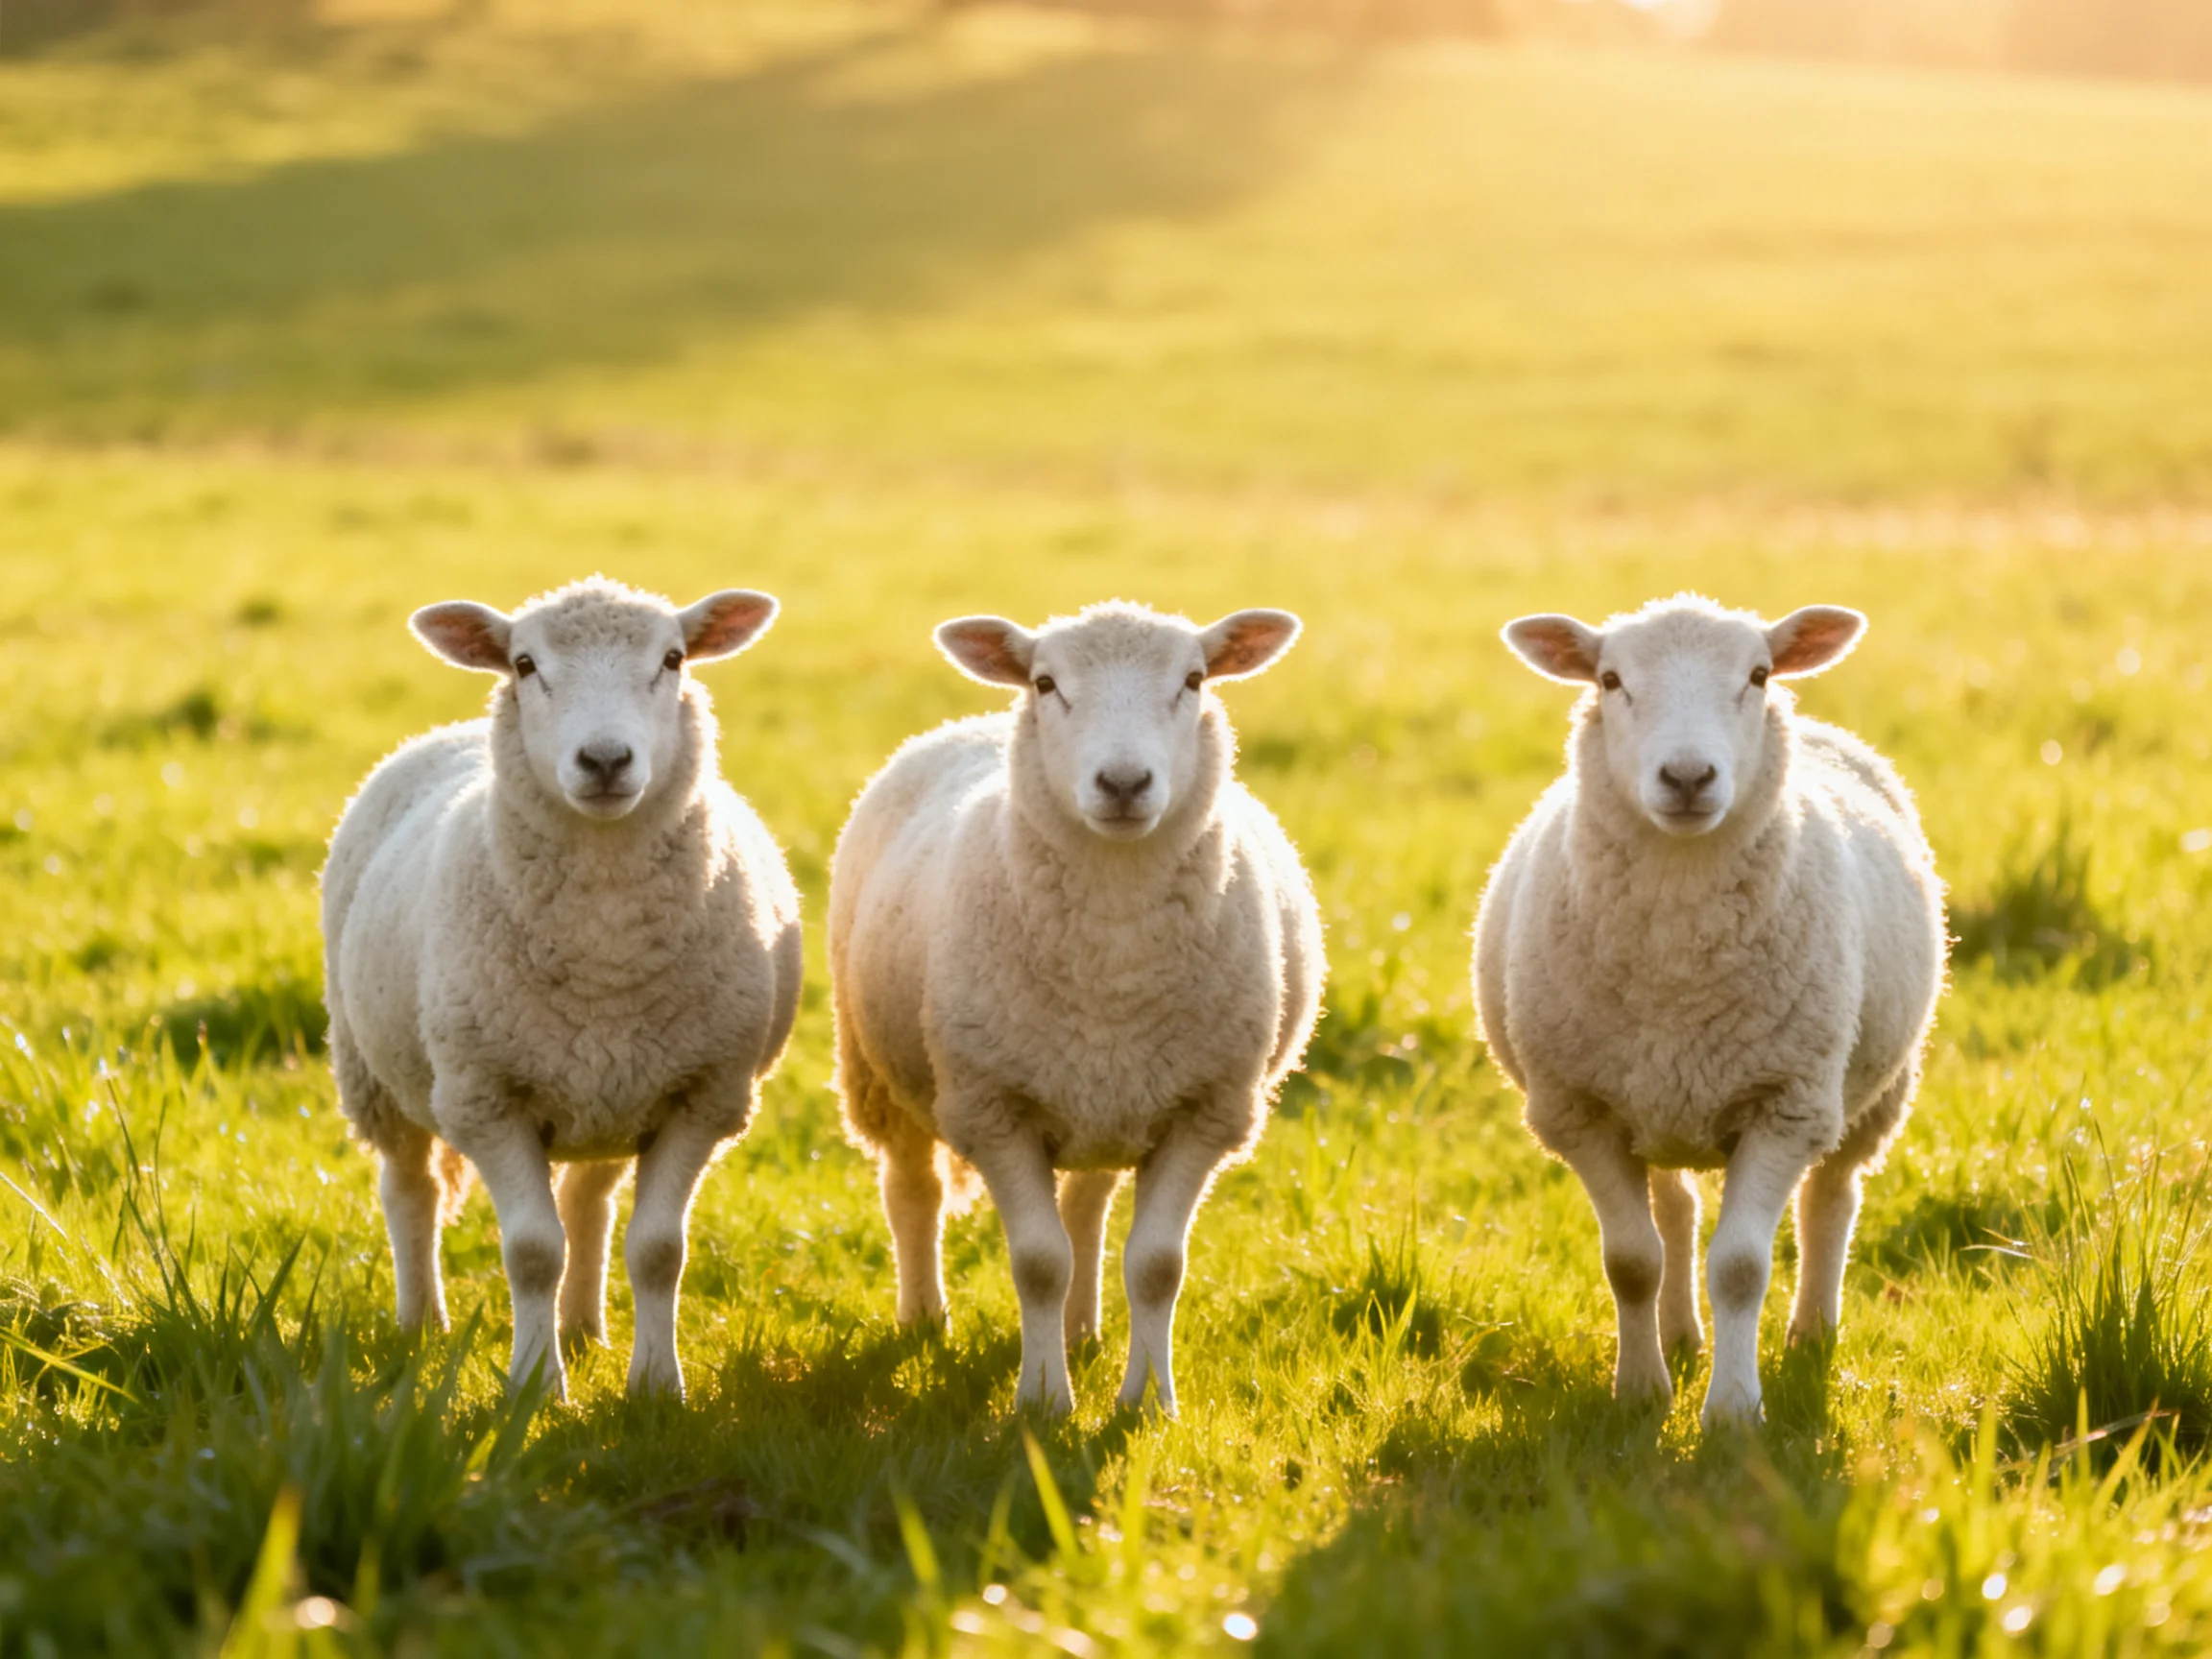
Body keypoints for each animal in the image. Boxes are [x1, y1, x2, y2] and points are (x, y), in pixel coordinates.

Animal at [320, 576, 802, 1401]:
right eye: (524, 664)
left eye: (673, 659)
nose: (605, 759)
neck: (604, 949)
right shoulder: (485, 1098)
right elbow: (532, 1251)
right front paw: (534, 1386)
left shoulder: (704, 1096)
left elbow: (657, 1249)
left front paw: (655, 1387)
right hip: (377, 1075)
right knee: (410, 1190)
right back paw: (423, 1324)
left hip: (612, 1093)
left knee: (589, 1202)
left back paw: (583, 1329)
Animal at [828, 600, 1323, 1417]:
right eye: (1045, 683)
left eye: (1194, 680)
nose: (1123, 782)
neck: (1112, 958)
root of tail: (971, 721)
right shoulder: (993, 1107)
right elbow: (1037, 1261)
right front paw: (1041, 1401)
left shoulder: (1206, 1110)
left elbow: (1155, 1264)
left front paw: (1148, 1401)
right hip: (880, 1073)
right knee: (912, 1191)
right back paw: (925, 1319)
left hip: (1108, 1100)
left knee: (1086, 1208)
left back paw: (1081, 1329)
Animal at [1472, 594, 1945, 1429]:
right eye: (1610, 679)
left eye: (1757, 675)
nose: (1688, 776)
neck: (1679, 964)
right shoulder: (1579, 1109)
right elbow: (1631, 1262)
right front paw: (1640, 1392)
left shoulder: (1786, 1104)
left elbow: (1742, 1267)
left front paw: (1732, 1410)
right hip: (1654, 1103)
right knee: (1676, 1211)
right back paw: (1679, 1335)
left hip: (1874, 1091)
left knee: (1832, 1198)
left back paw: (1811, 1335)